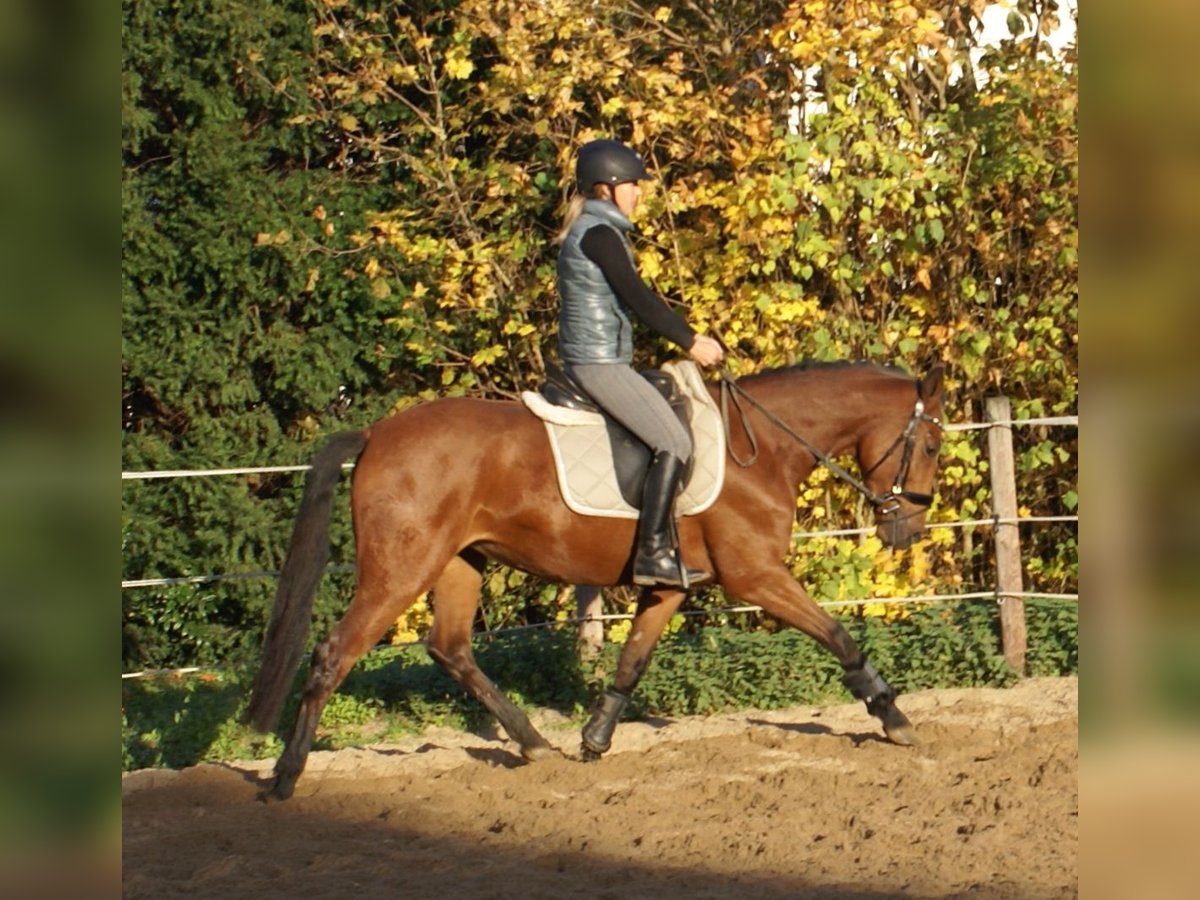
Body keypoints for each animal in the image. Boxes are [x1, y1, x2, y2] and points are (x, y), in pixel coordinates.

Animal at [245, 360, 946, 800]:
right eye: (934, 446)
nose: (906, 529)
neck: (763, 449)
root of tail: (377, 433)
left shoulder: (668, 586)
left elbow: (631, 662)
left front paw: (594, 739)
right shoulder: (757, 576)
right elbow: (838, 635)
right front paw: (892, 716)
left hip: (459, 563)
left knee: (450, 648)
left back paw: (533, 745)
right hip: (401, 569)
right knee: (336, 653)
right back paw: (285, 777)